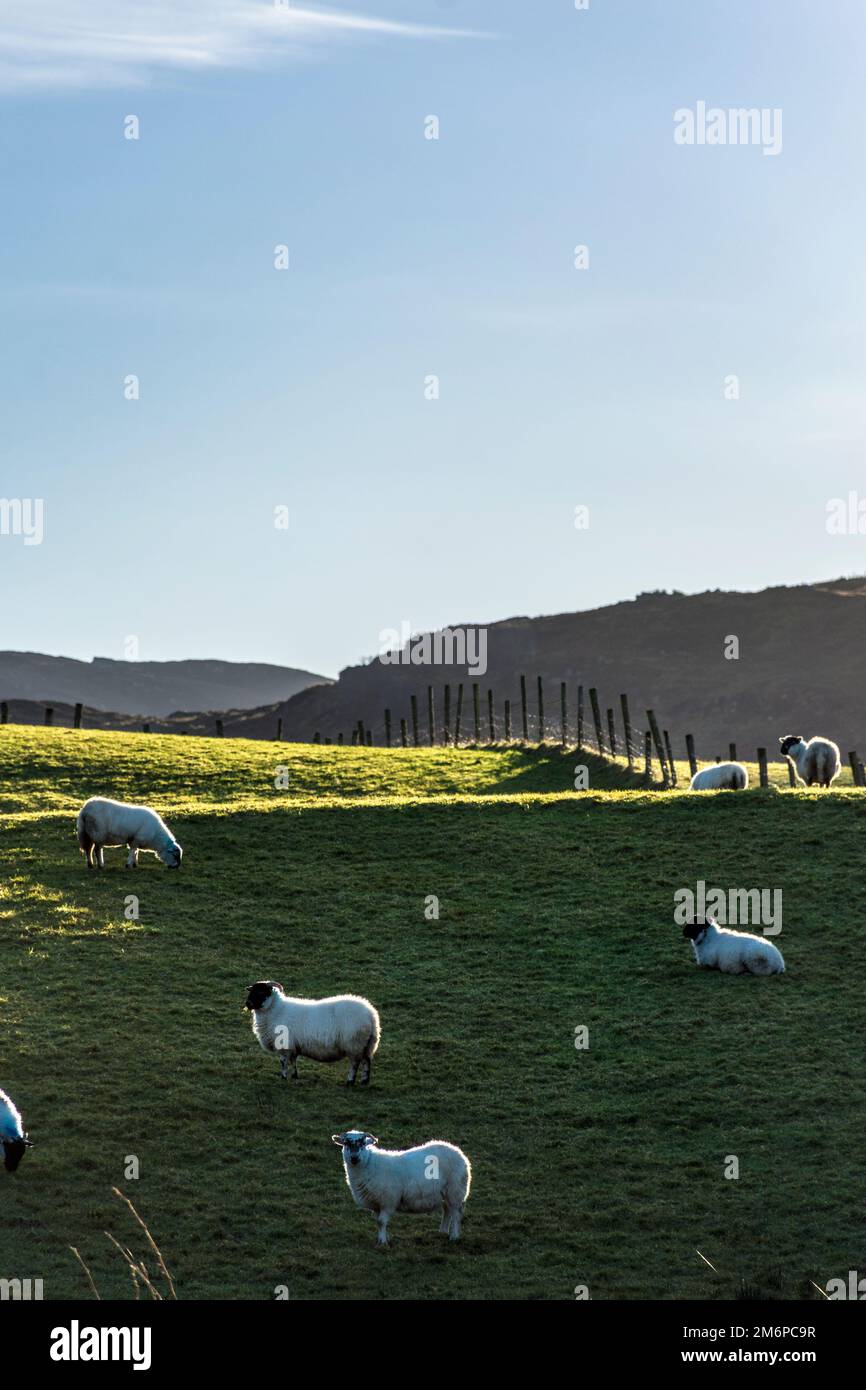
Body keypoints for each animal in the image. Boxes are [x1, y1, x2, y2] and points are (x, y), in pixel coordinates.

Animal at [244, 978, 378, 1084]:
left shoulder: (284, 1044)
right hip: (368, 1044)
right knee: (367, 1061)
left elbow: (283, 1062)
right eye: (251, 991)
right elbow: (293, 1061)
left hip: (354, 1044)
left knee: (354, 1064)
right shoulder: (293, 1046)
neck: (276, 1010)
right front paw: (294, 1076)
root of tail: (370, 1014)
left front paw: (283, 1077)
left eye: (261, 991)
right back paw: (364, 1081)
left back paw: (350, 1081)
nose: (248, 1004)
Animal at [330, 1128, 469, 1251]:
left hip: (455, 1190)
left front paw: (382, 1242)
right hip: (446, 1193)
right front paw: (383, 1238)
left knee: (456, 1213)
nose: (354, 1158)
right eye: (346, 1143)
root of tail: (457, 1151)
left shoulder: (388, 1200)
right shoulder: (377, 1203)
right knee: (447, 1210)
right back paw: (442, 1232)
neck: (369, 1164)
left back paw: (454, 1237)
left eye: (363, 1144)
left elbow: (381, 1221)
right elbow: (378, 1222)